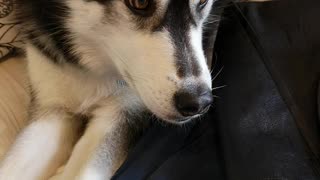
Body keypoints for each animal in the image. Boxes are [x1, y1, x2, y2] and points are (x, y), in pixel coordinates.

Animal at [0, 0, 215, 179]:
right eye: (140, 3)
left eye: (203, 1)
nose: (197, 102)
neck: (92, 66)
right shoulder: (53, 108)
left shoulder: (123, 111)